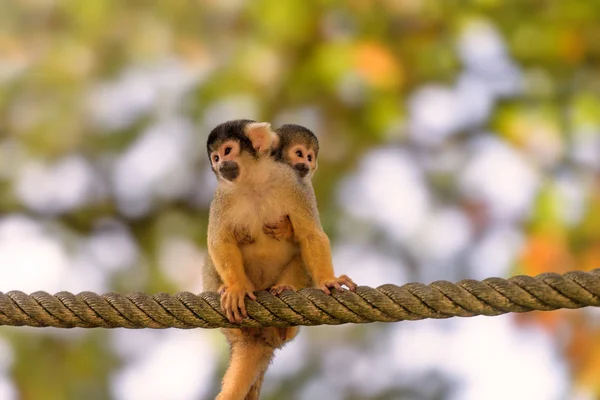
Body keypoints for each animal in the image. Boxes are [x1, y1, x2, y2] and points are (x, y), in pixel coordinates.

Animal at [204, 119, 356, 400]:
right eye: (216, 157)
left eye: (228, 151)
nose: (220, 165)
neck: (253, 182)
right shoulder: (222, 197)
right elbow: (218, 242)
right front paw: (236, 288)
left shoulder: (293, 183)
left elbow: (310, 234)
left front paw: (328, 280)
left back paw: (284, 313)